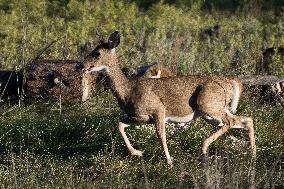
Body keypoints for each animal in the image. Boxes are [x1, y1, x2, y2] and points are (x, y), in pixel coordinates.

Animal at [81, 31, 256, 167]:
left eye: (96, 53)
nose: (82, 66)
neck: (128, 91)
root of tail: (230, 81)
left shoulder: (159, 109)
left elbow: (161, 135)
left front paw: (169, 162)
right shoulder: (139, 117)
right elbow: (120, 124)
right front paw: (137, 152)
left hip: (207, 104)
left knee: (231, 121)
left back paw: (204, 147)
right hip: (214, 110)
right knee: (245, 120)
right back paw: (252, 155)